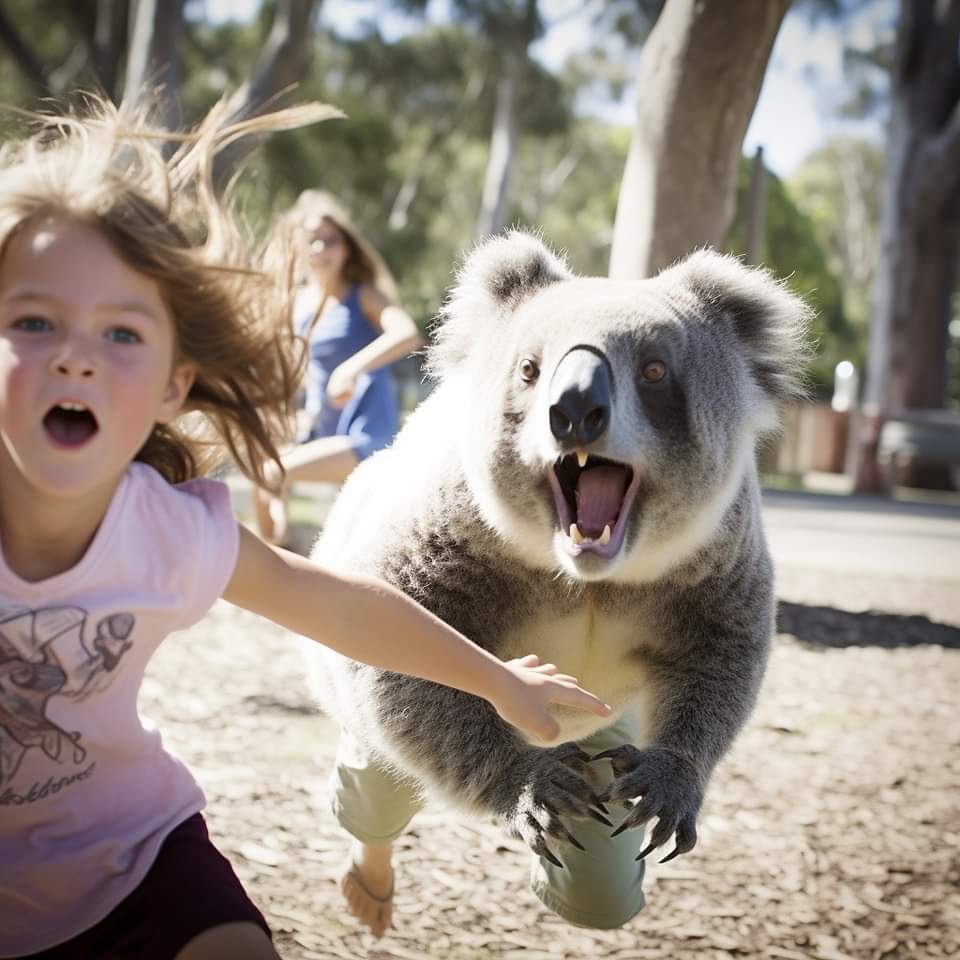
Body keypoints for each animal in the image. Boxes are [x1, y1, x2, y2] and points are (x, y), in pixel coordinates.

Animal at [306, 230, 811, 934]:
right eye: (528, 369)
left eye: (654, 370)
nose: (574, 411)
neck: (590, 575)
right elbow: (401, 646)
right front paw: (533, 787)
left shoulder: (719, 567)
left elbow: (720, 659)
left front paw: (666, 786)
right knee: (377, 791)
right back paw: (369, 873)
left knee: (598, 886)